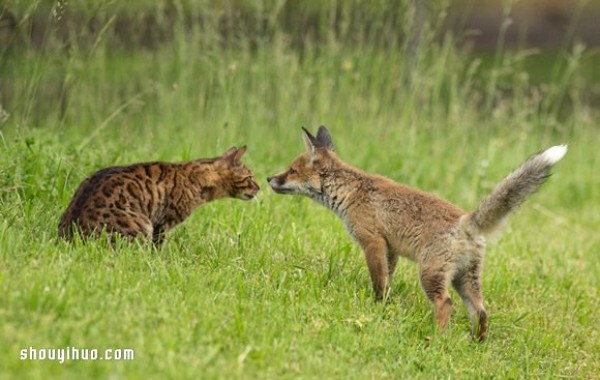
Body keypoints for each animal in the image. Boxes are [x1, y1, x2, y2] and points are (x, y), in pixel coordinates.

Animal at [57, 145, 258, 246]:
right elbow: (158, 247)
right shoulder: (162, 222)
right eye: (249, 178)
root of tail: (69, 239)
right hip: (141, 226)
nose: (259, 187)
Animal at [268, 125, 568, 342]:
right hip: (464, 280)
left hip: (430, 274)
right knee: (481, 312)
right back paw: (477, 344)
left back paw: (437, 340)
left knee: (445, 304)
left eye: (291, 170)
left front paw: (376, 308)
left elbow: (378, 282)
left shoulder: (372, 242)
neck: (350, 192)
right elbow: (387, 281)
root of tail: (466, 221)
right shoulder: (390, 250)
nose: (270, 178)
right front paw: (384, 307)